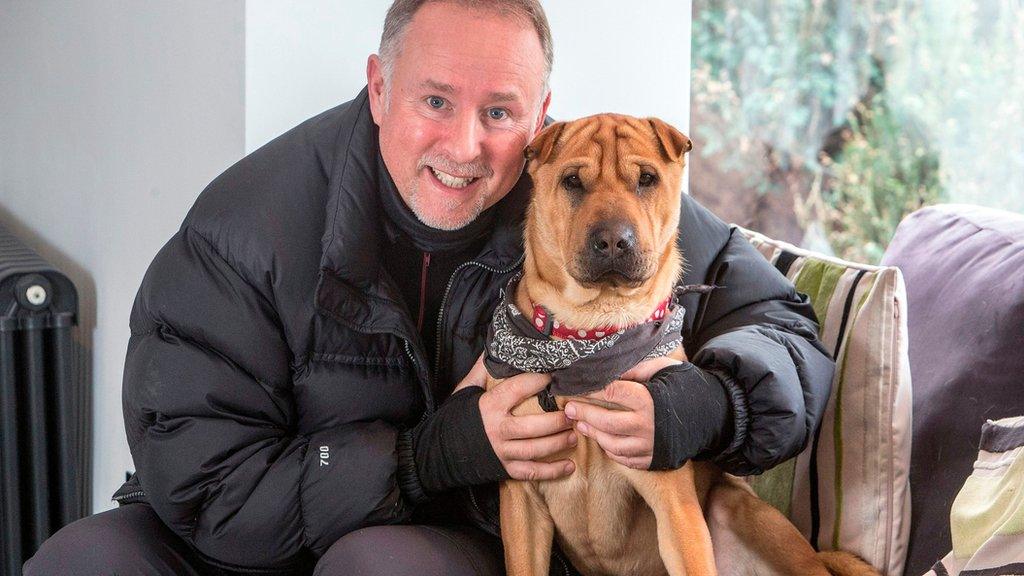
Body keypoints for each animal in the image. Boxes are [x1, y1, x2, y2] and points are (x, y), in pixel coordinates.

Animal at [487, 114, 880, 573]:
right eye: (572, 181)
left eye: (646, 179)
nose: (613, 240)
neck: (592, 332)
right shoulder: (522, 501)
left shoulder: (673, 504)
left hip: (747, 514)